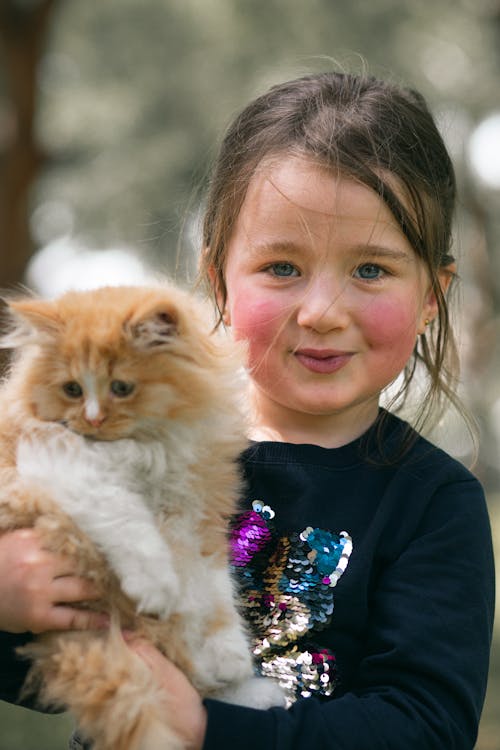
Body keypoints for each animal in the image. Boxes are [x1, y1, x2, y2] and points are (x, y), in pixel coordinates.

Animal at [0, 284, 284, 750]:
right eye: (72, 389)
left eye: (121, 387)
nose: (93, 420)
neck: (151, 450)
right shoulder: (57, 468)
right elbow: (131, 525)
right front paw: (157, 587)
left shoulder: (198, 513)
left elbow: (215, 589)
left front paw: (230, 653)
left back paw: (254, 692)